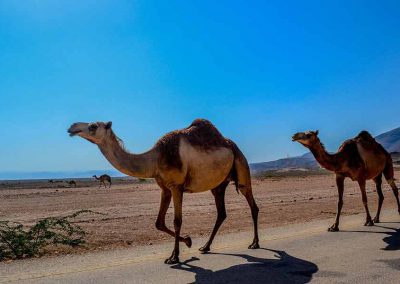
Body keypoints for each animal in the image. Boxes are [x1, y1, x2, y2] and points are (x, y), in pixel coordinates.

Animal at [67, 118, 260, 264]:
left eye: (93, 126)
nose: (72, 127)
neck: (155, 158)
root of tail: (232, 145)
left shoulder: (176, 186)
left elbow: (177, 221)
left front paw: (175, 257)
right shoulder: (165, 188)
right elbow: (159, 223)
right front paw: (188, 242)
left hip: (241, 165)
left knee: (252, 204)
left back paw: (255, 243)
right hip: (218, 185)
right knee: (221, 213)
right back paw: (205, 247)